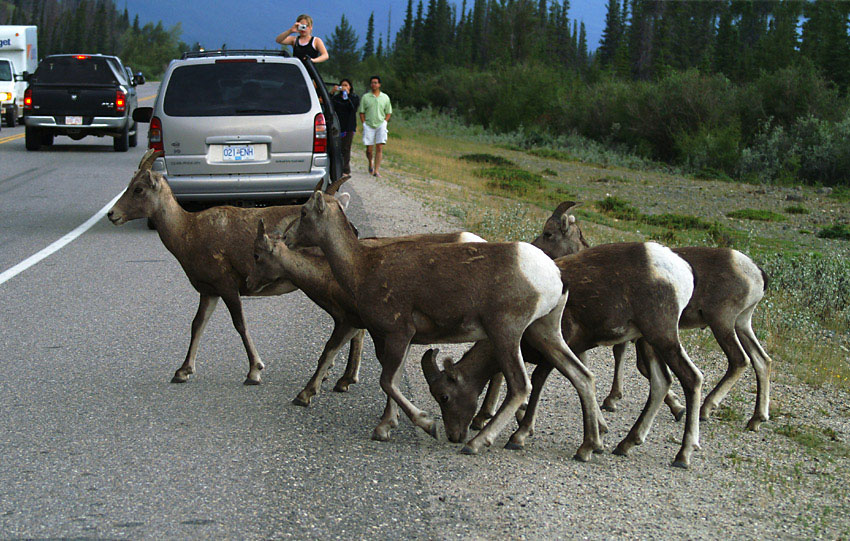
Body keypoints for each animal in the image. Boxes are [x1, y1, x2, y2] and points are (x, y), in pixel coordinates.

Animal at [106, 148, 358, 384]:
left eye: (138, 189)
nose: (112, 214)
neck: (187, 234)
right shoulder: (208, 290)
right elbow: (197, 324)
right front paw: (182, 371)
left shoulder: (227, 284)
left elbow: (240, 324)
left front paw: (254, 371)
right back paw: (342, 376)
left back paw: (342, 377)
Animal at [284, 190, 604, 460]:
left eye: (303, 213)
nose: (286, 238)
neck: (363, 266)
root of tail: (554, 275)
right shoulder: (395, 339)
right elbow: (392, 379)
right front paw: (385, 427)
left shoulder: (398, 333)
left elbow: (387, 381)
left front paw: (424, 424)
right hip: (544, 331)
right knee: (582, 376)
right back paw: (587, 447)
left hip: (506, 334)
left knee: (520, 386)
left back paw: (477, 443)